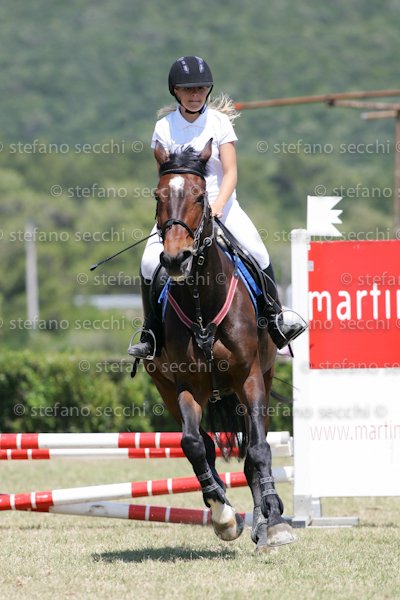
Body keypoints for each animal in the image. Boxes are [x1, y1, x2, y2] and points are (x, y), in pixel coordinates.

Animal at [143, 138, 295, 551]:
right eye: (158, 195)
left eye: (200, 196)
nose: (175, 258)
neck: (202, 301)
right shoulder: (185, 386)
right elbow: (194, 445)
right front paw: (223, 515)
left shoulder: (250, 378)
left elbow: (258, 449)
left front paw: (274, 521)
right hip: (166, 388)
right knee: (203, 444)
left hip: (262, 379)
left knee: (253, 448)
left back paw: (264, 519)